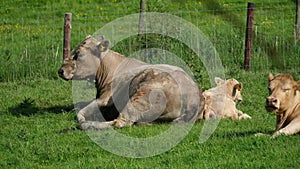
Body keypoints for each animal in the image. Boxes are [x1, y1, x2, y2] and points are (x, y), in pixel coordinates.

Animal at [57, 35, 205, 130]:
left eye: (79, 55)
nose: (60, 71)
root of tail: (196, 96)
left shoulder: (105, 98)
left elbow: (80, 113)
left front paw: (82, 118)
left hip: (142, 97)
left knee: (120, 122)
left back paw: (87, 125)